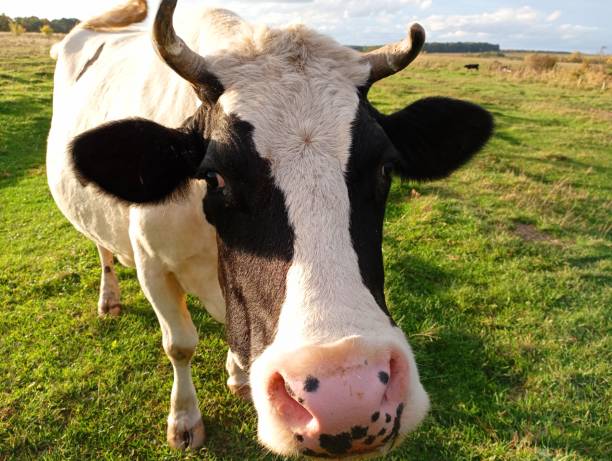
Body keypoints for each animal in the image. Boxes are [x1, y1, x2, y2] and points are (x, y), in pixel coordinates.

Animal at [45, 0, 494, 454]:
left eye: (386, 167)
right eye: (214, 176)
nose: (347, 397)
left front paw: (239, 375)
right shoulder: (152, 265)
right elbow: (180, 344)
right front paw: (185, 419)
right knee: (102, 249)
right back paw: (109, 299)